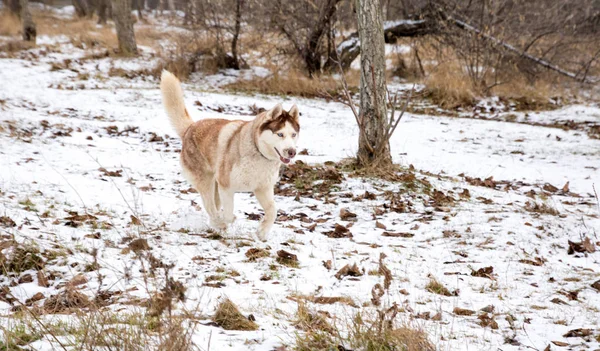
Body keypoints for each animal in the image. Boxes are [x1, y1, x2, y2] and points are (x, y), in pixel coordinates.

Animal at [159, 71, 300, 242]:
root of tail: (190, 128)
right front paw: (226, 221)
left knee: (212, 206)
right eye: (280, 134)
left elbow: (273, 211)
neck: (258, 153)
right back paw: (218, 224)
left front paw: (262, 232)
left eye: (293, 134)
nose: (292, 151)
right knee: (210, 206)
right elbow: (228, 213)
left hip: (215, 187)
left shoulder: (262, 188)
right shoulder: (226, 187)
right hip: (206, 181)